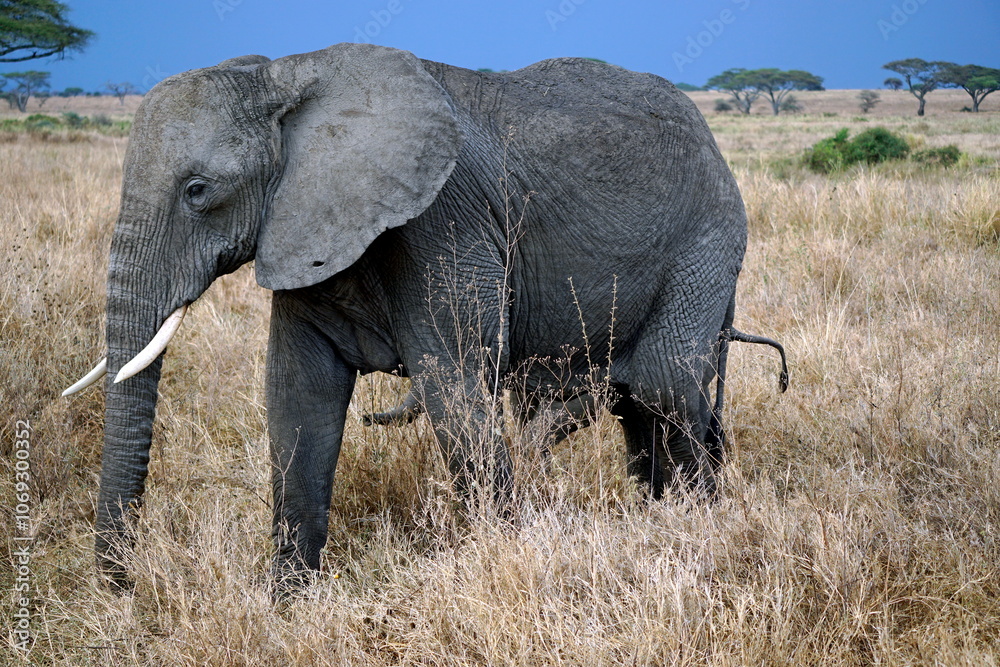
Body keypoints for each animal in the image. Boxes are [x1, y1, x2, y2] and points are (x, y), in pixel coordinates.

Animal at [63, 43, 787, 589]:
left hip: (709, 239)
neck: (290, 75)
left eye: (198, 191)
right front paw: (287, 604)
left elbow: (454, 387)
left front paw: (503, 562)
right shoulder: (304, 220)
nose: (122, 587)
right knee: (643, 403)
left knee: (665, 386)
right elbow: (299, 395)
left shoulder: (444, 223)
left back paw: (696, 529)